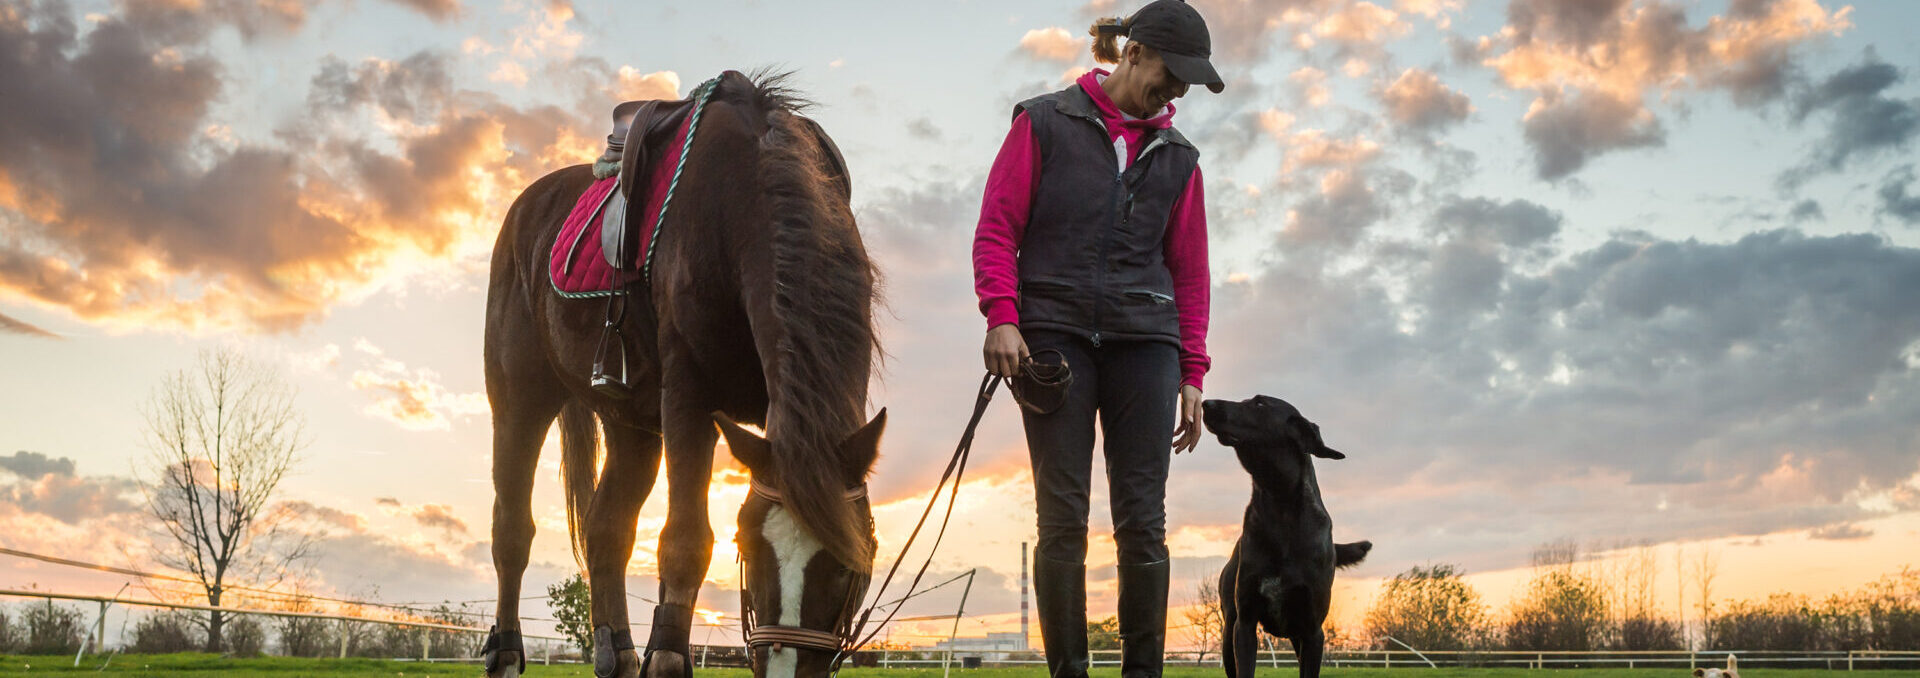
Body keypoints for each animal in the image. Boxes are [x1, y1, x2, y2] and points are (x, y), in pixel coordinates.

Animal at [481, 69, 884, 678]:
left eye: (850, 560)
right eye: (748, 545)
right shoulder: (690, 402)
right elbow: (686, 541)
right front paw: (669, 653)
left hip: (632, 427)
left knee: (606, 532)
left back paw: (618, 652)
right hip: (519, 403)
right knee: (512, 531)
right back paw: (506, 653)